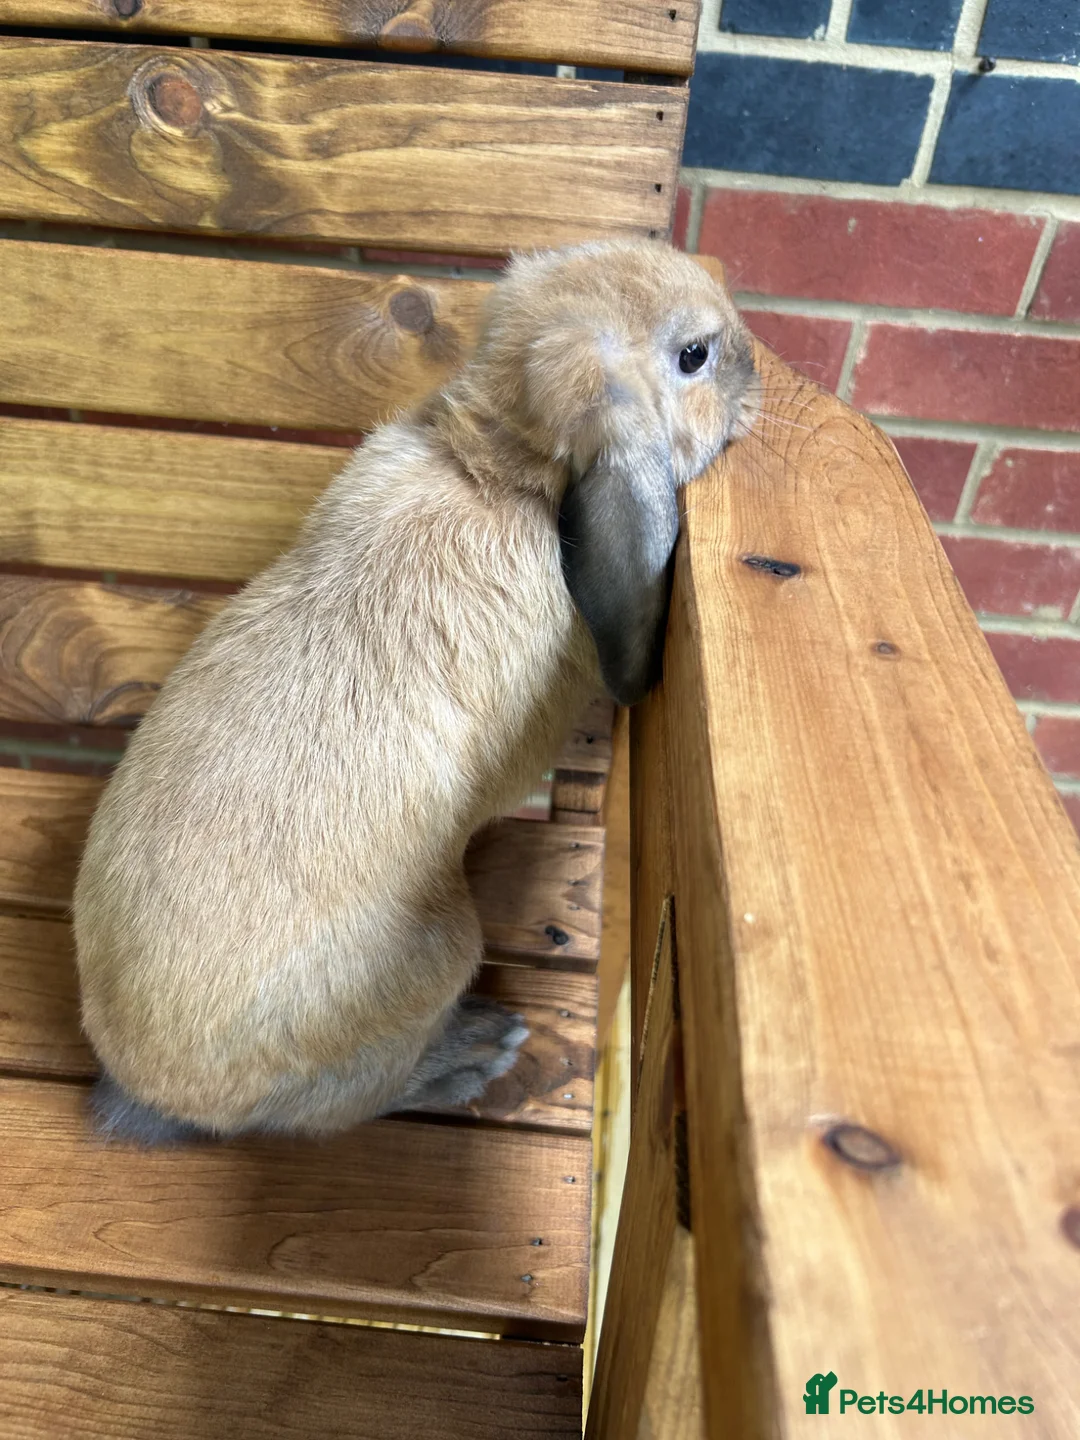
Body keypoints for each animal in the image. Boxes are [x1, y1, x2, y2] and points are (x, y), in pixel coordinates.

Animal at [73, 238, 756, 1144]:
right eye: (693, 357)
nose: (756, 367)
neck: (499, 468)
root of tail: (147, 1091)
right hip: (445, 954)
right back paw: (479, 1051)